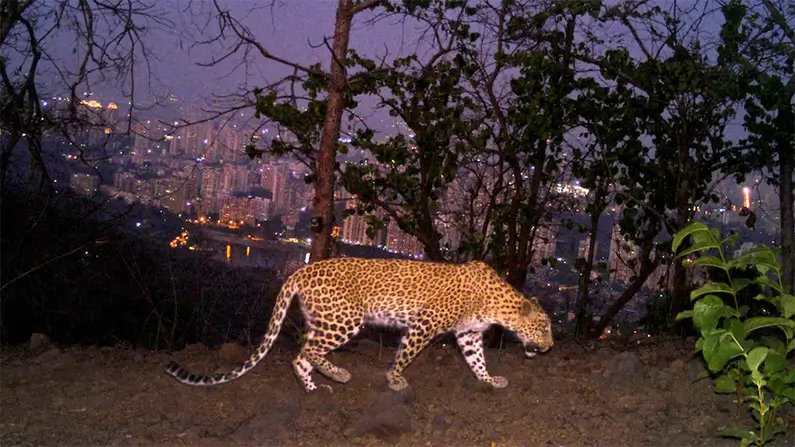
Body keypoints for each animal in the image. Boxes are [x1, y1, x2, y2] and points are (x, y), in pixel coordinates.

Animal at [164, 257, 554, 392]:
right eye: (545, 328)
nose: (550, 347)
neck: (497, 305)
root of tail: (301, 270)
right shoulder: (423, 325)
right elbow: (405, 354)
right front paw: (394, 379)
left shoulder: (469, 334)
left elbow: (476, 360)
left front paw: (489, 380)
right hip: (345, 320)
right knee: (306, 349)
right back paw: (338, 373)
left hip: (326, 320)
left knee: (301, 355)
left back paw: (315, 388)